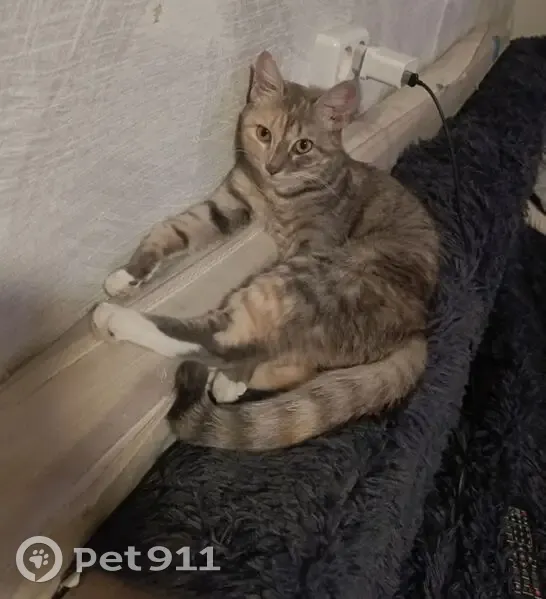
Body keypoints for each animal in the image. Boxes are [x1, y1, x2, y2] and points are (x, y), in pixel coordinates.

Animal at [91, 50, 440, 451]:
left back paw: (121, 321)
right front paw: (130, 274)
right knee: (293, 363)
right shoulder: (228, 204)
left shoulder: (315, 242)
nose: (273, 167)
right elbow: (173, 230)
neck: (276, 195)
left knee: (230, 341)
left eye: (303, 146)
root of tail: (417, 327)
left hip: (310, 277)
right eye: (263, 134)